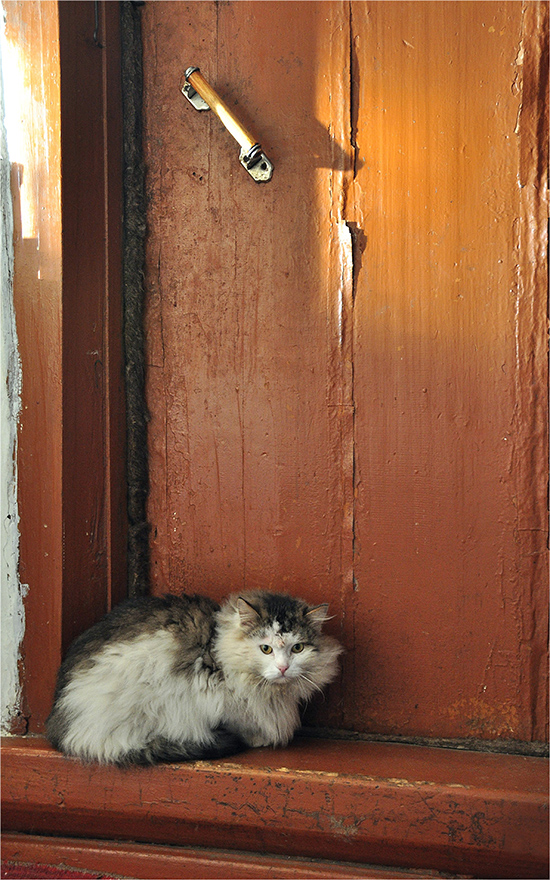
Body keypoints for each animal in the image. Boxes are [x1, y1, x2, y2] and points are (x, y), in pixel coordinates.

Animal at [47, 592, 342, 764]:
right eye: (266, 649)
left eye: (298, 648)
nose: (283, 668)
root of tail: (61, 727)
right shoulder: (217, 696)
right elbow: (242, 722)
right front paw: (258, 738)